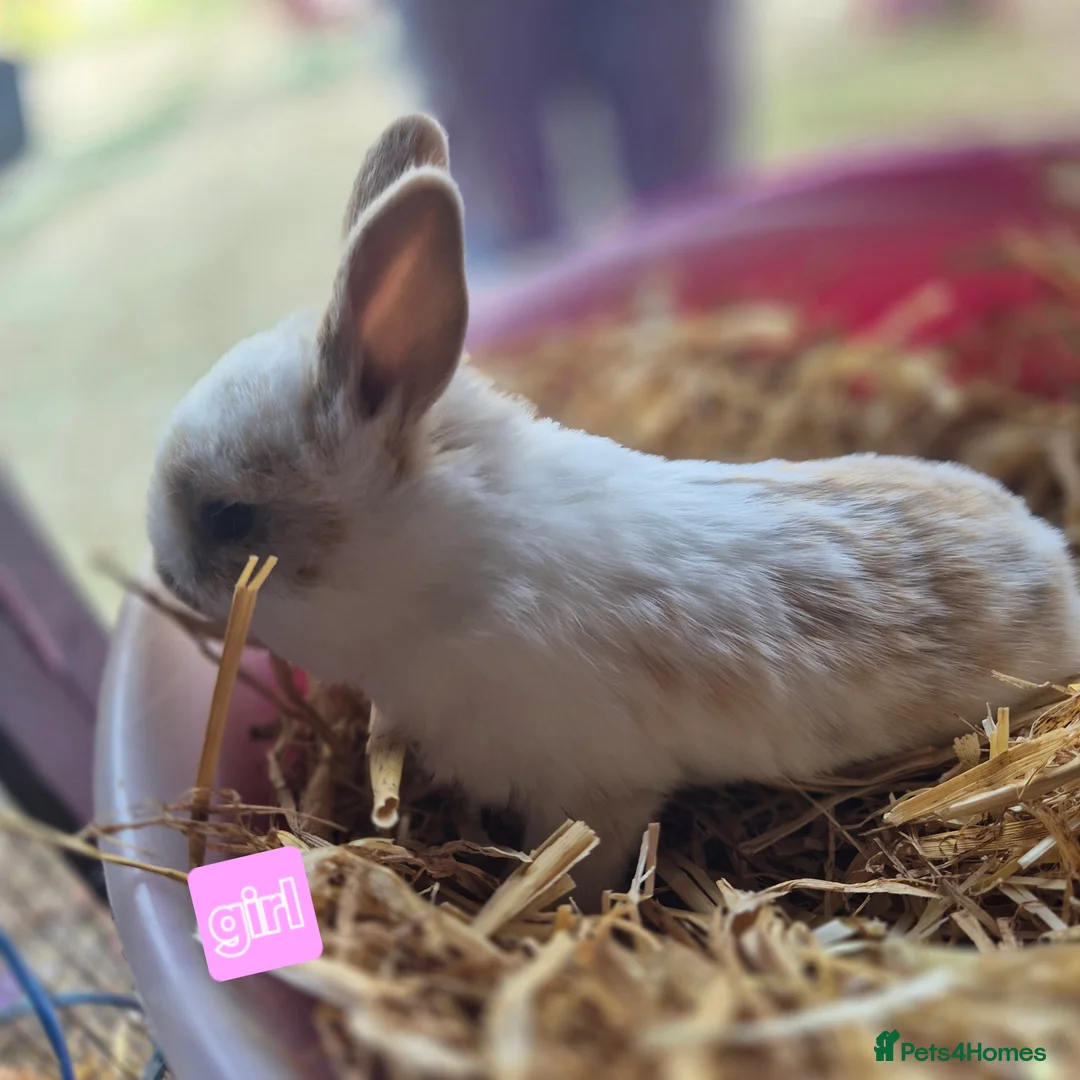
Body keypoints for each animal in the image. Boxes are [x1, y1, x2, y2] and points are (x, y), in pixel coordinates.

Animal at [147, 114, 1080, 910]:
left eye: (229, 518)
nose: (162, 573)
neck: (454, 573)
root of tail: (1054, 559)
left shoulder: (594, 791)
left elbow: (579, 863)